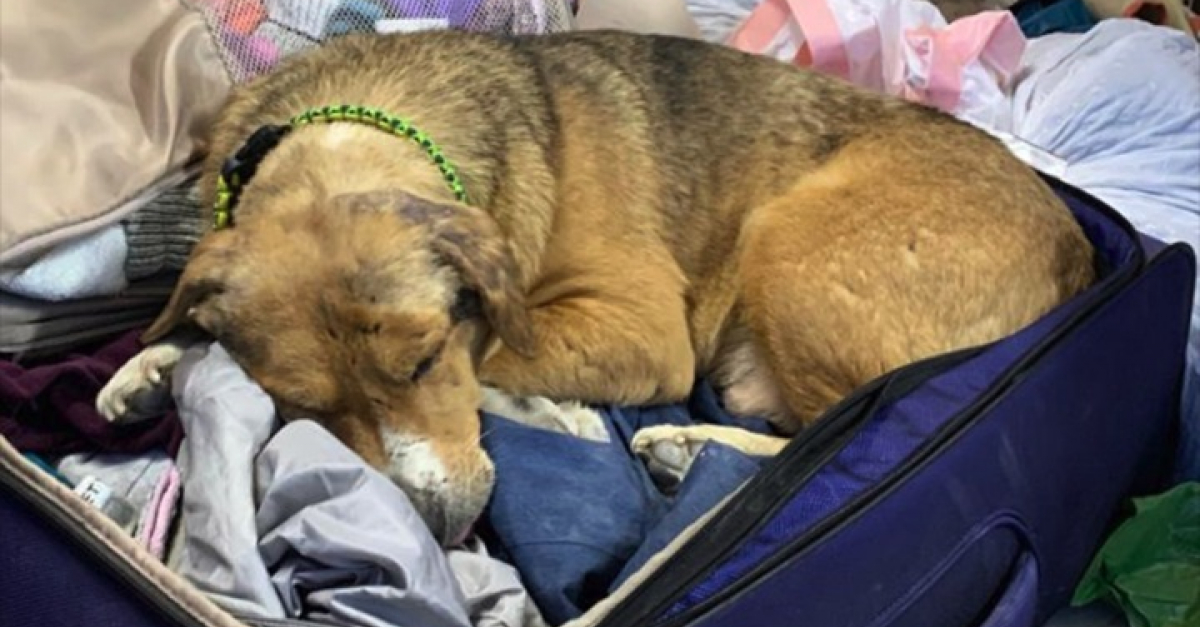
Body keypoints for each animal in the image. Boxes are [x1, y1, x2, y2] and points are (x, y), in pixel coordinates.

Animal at [96, 29, 1096, 546]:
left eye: (423, 359)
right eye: (303, 407)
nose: (436, 525)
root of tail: (1081, 249)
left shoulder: (641, 330)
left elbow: (499, 354)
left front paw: (555, 413)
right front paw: (151, 362)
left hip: (790, 241)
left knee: (846, 424)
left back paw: (686, 446)